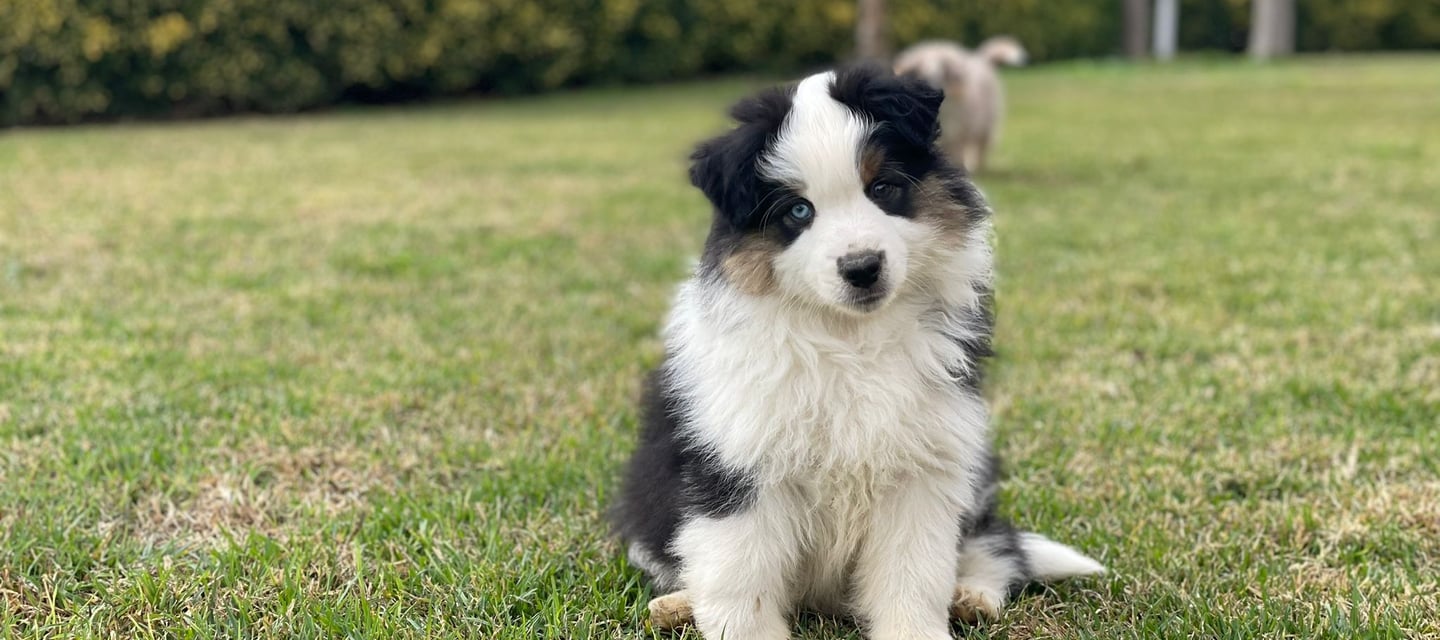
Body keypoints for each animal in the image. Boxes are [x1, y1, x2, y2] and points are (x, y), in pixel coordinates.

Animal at [611, 64, 1101, 640]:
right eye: (798, 211)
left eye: (882, 188)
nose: (862, 267)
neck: (850, 338)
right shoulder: (737, 464)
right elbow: (742, 579)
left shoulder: (923, 466)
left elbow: (913, 576)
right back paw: (677, 604)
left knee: (993, 544)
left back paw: (972, 594)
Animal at [894, 37, 1028, 172]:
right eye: (920, 71)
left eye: (942, 73)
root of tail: (982, 60)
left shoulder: (956, 133)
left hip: (985, 124)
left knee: (980, 147)